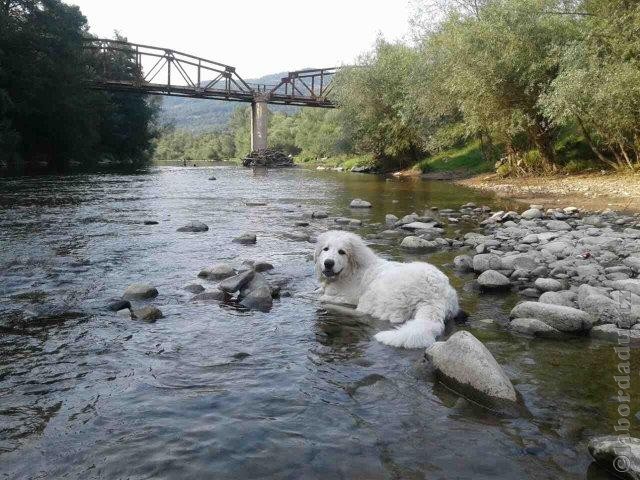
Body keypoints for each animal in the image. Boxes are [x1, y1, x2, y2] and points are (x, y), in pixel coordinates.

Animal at [312, 230, 458, 348]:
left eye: (342, 252)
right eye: (325, 249)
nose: (328, 263)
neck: (350, 272)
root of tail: (436, 295)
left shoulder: (347, 297)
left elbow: (323, 297)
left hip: (374, 293)